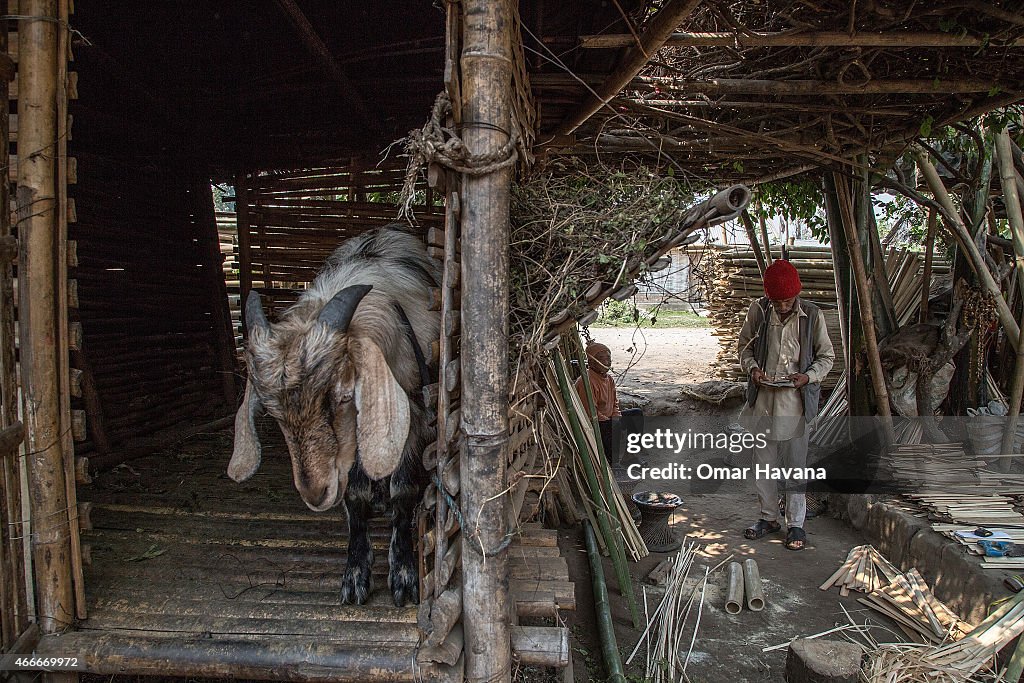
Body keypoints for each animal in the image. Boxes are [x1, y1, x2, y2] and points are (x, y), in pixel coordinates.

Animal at [226, 227, 438, 606]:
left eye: (343, 396)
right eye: (273, 413)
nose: (315, 493)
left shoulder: (411, 418)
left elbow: (403, 490)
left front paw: (404, 575)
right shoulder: (349, 450)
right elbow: (355, 494)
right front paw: (355, 573)